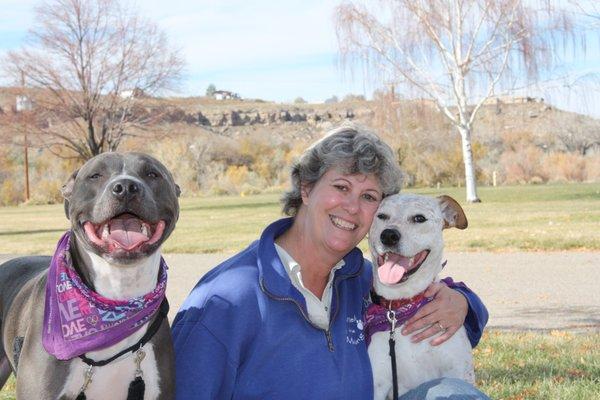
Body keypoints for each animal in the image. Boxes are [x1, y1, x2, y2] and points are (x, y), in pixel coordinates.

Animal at [366, 192, 474, 398]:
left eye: (419, 218)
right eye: (382, 216)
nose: (389, 235)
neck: (400, 306)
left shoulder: (459, 373)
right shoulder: (377, 385)